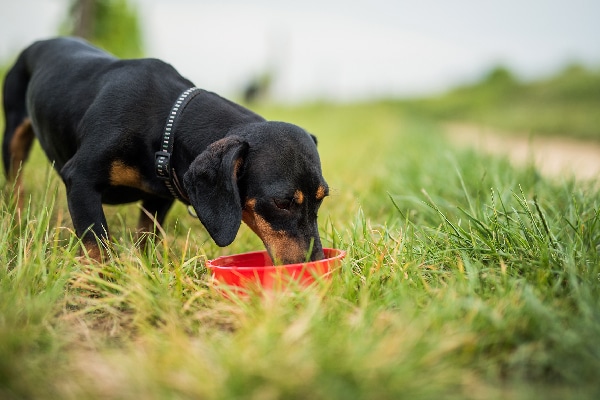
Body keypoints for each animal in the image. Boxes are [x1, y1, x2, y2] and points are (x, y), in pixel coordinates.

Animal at [2, 36, 328, 262]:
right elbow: (97, 247)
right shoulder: (80, 180)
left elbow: (147, 239)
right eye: (282, 202)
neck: (168, 120)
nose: (316, 263)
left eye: (322, 198)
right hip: (14, 136)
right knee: (14, 183)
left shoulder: (159, 197)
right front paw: (103, 284)